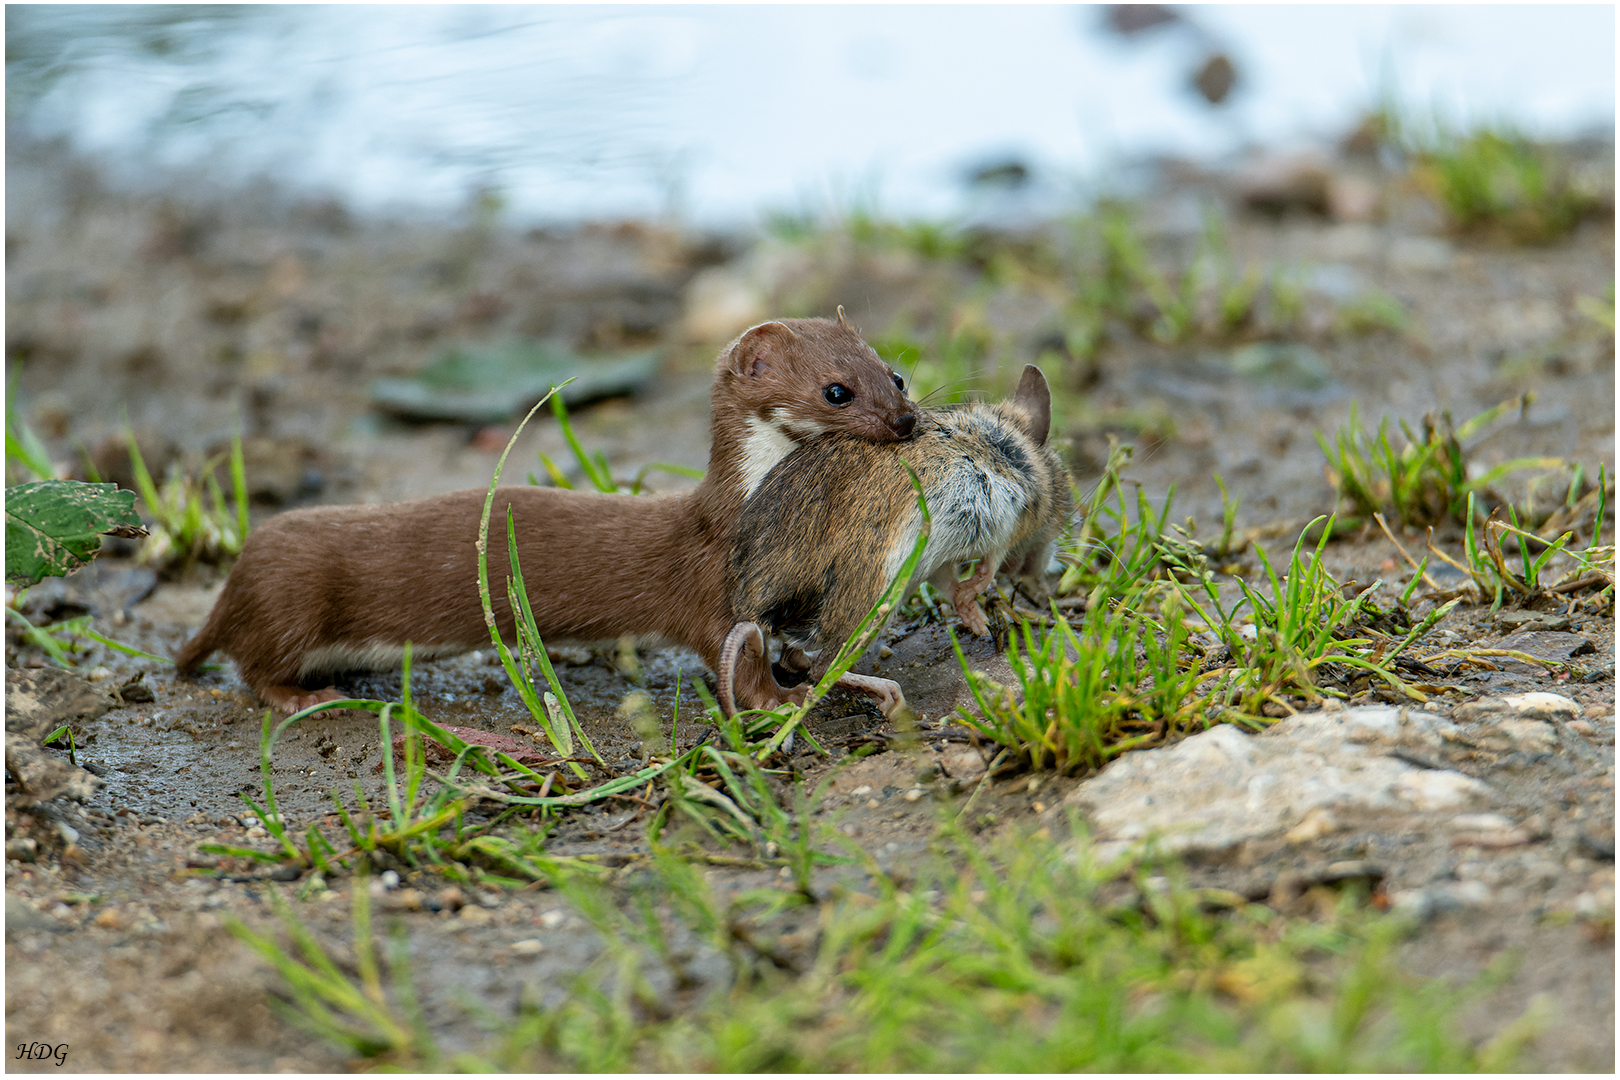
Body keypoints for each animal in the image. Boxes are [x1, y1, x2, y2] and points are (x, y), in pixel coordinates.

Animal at [177, 314, 920, 718]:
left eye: (896, 373)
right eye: (837, 390)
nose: (908, 422)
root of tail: (234, 581)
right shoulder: (717, 586)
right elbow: (731, 662)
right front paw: (786, 700)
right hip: (289, 602)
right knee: (252, 666)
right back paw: (304, 698)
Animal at [716, 367, 1069, 722]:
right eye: (1064, 500)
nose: (1042, 581)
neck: (1009, 447)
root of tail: (751, 607)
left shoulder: (934, 558)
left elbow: (951, 585)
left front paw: (977, 621)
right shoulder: (1001, 525)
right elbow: (986, 571)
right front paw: (979, 605)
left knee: (797, 659)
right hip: (875, 595)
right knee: (824, 668)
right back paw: (891, 697)